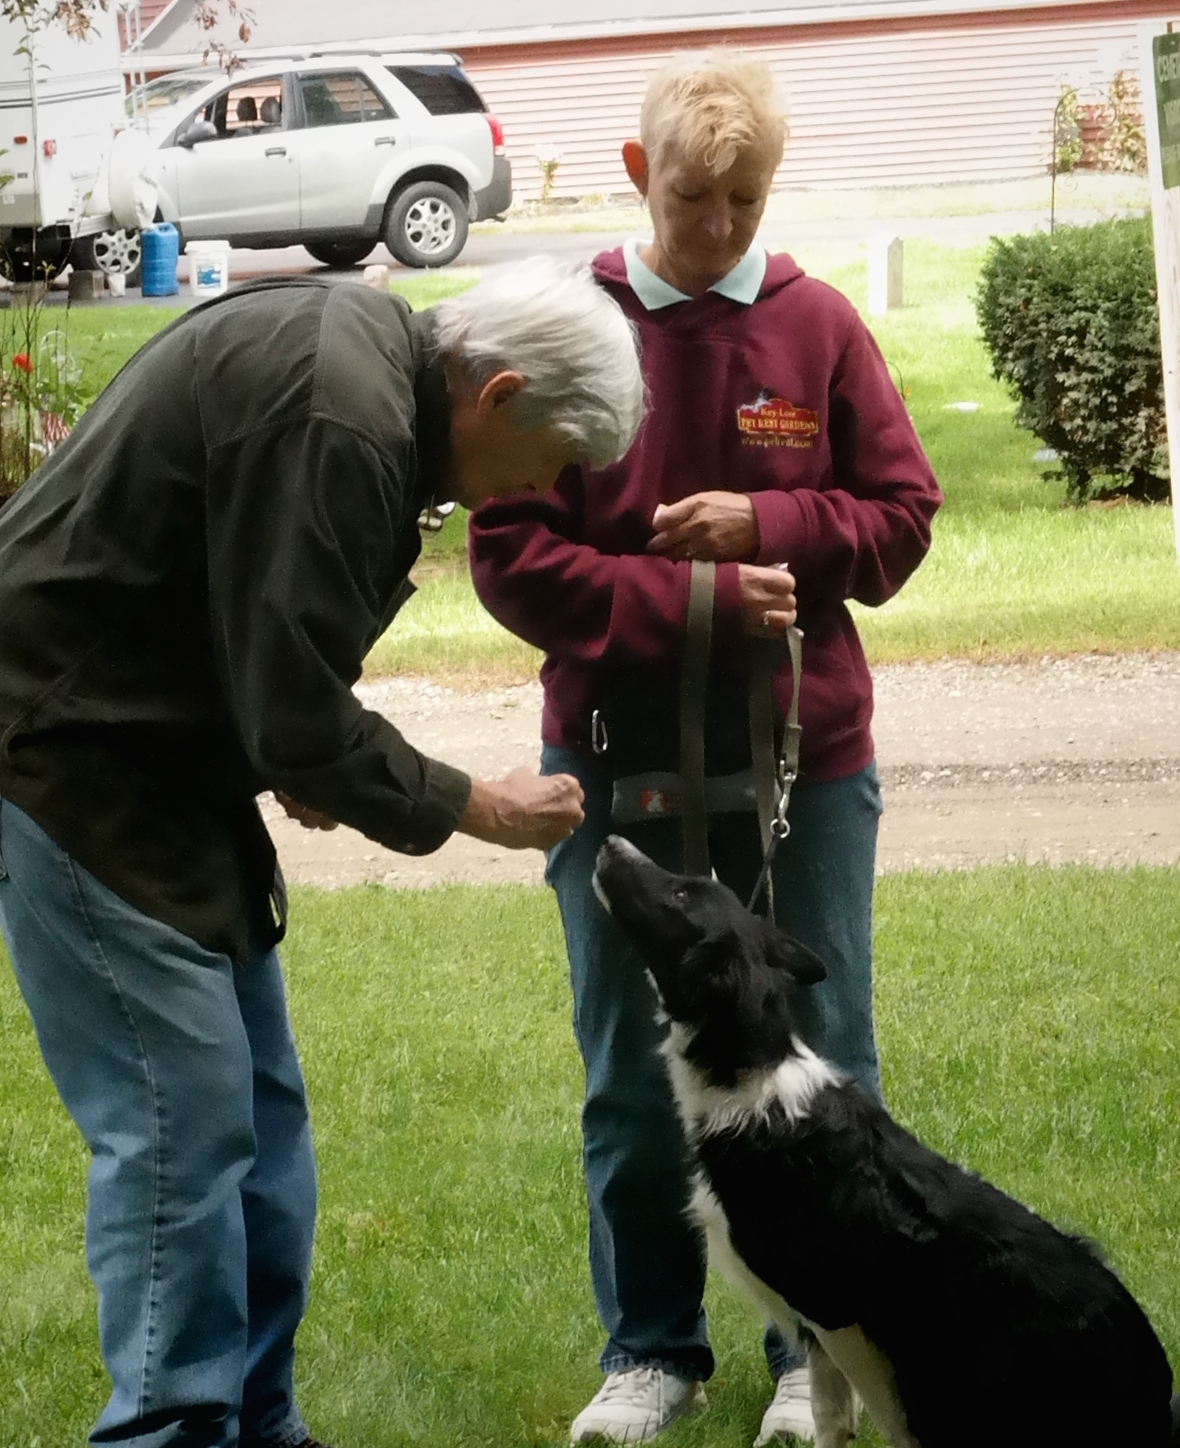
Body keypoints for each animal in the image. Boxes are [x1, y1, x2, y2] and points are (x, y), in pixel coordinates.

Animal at [592, 834, 1178, 1448]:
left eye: (682, 893)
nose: (609, 842)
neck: (753, 1081)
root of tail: (1156, 1396)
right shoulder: (818, 1331)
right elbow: (829, 1416)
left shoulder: (837, 1313)